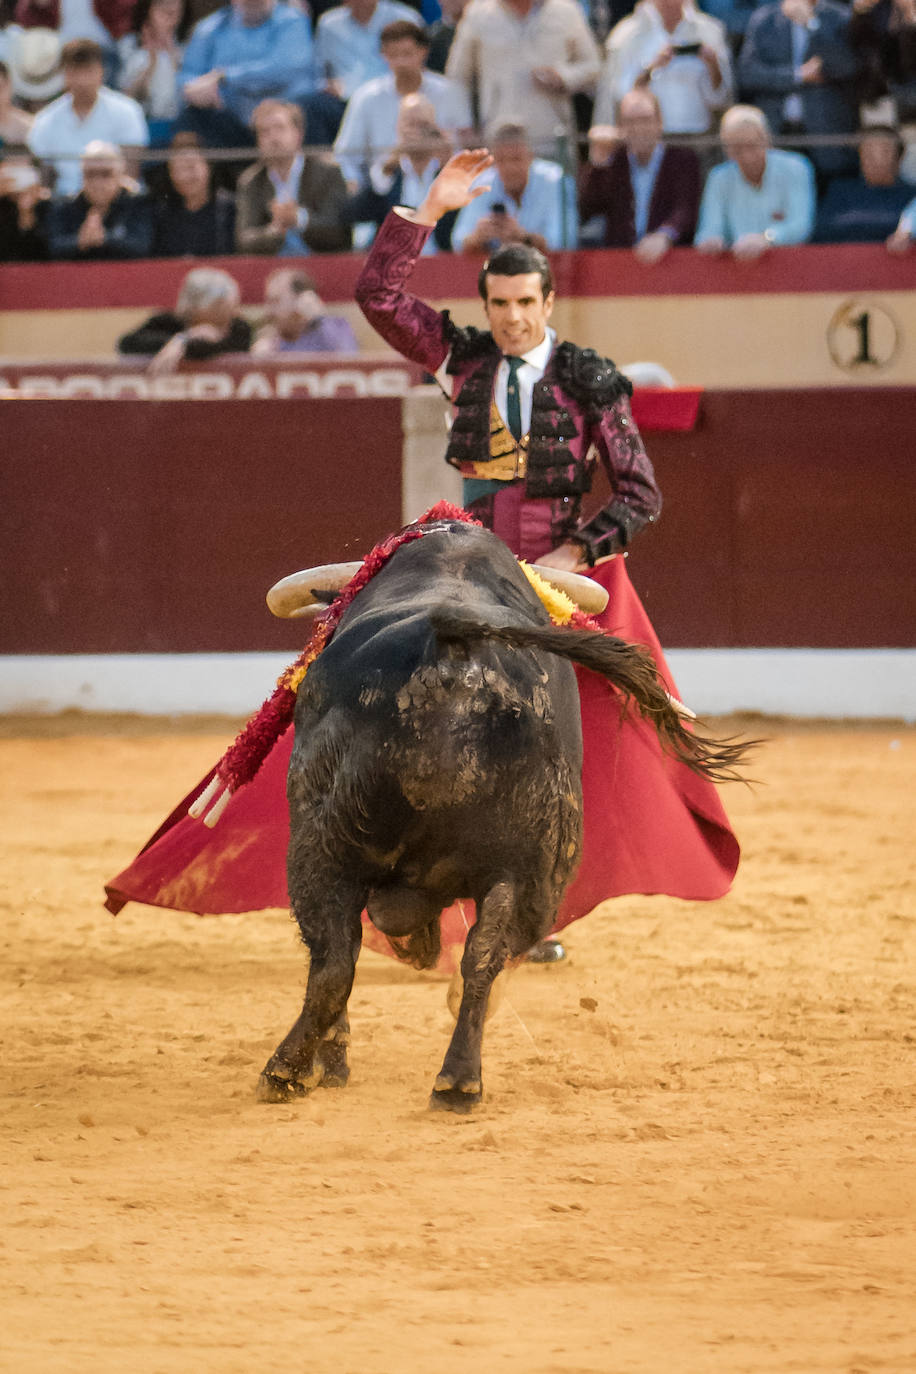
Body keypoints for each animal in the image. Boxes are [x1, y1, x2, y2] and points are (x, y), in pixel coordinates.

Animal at [254, 519, 747, 1110]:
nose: (415, 949)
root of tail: (451, 649)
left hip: (323, 844)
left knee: (333, 959)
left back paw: (286, 1070)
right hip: (532, 868)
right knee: (485, 956)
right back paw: (458, 1079)